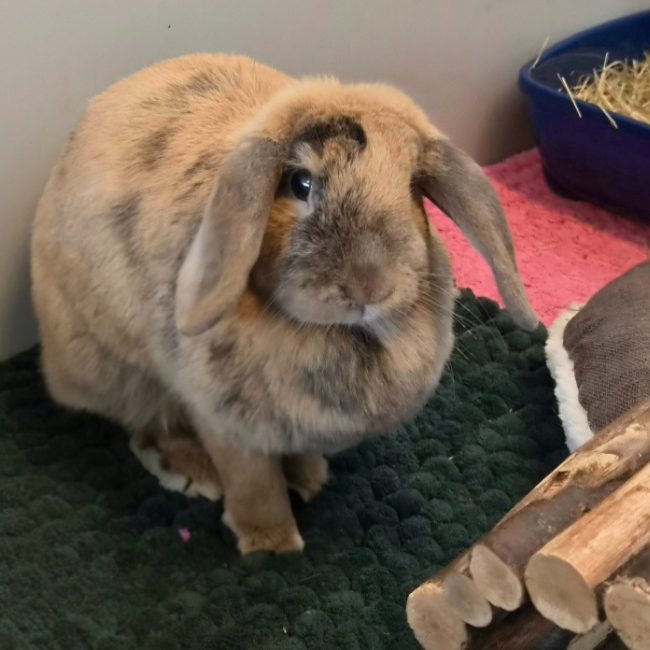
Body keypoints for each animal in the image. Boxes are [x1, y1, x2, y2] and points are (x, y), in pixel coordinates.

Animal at [31, 53, 537, 554]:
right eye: (300, 184)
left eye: (413, 188)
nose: (370, 286)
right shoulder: (225, 424)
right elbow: (253, 484)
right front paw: (272, 543)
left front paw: (310, 479)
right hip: (121, 370)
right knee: (147, 425)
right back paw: (194, 473)